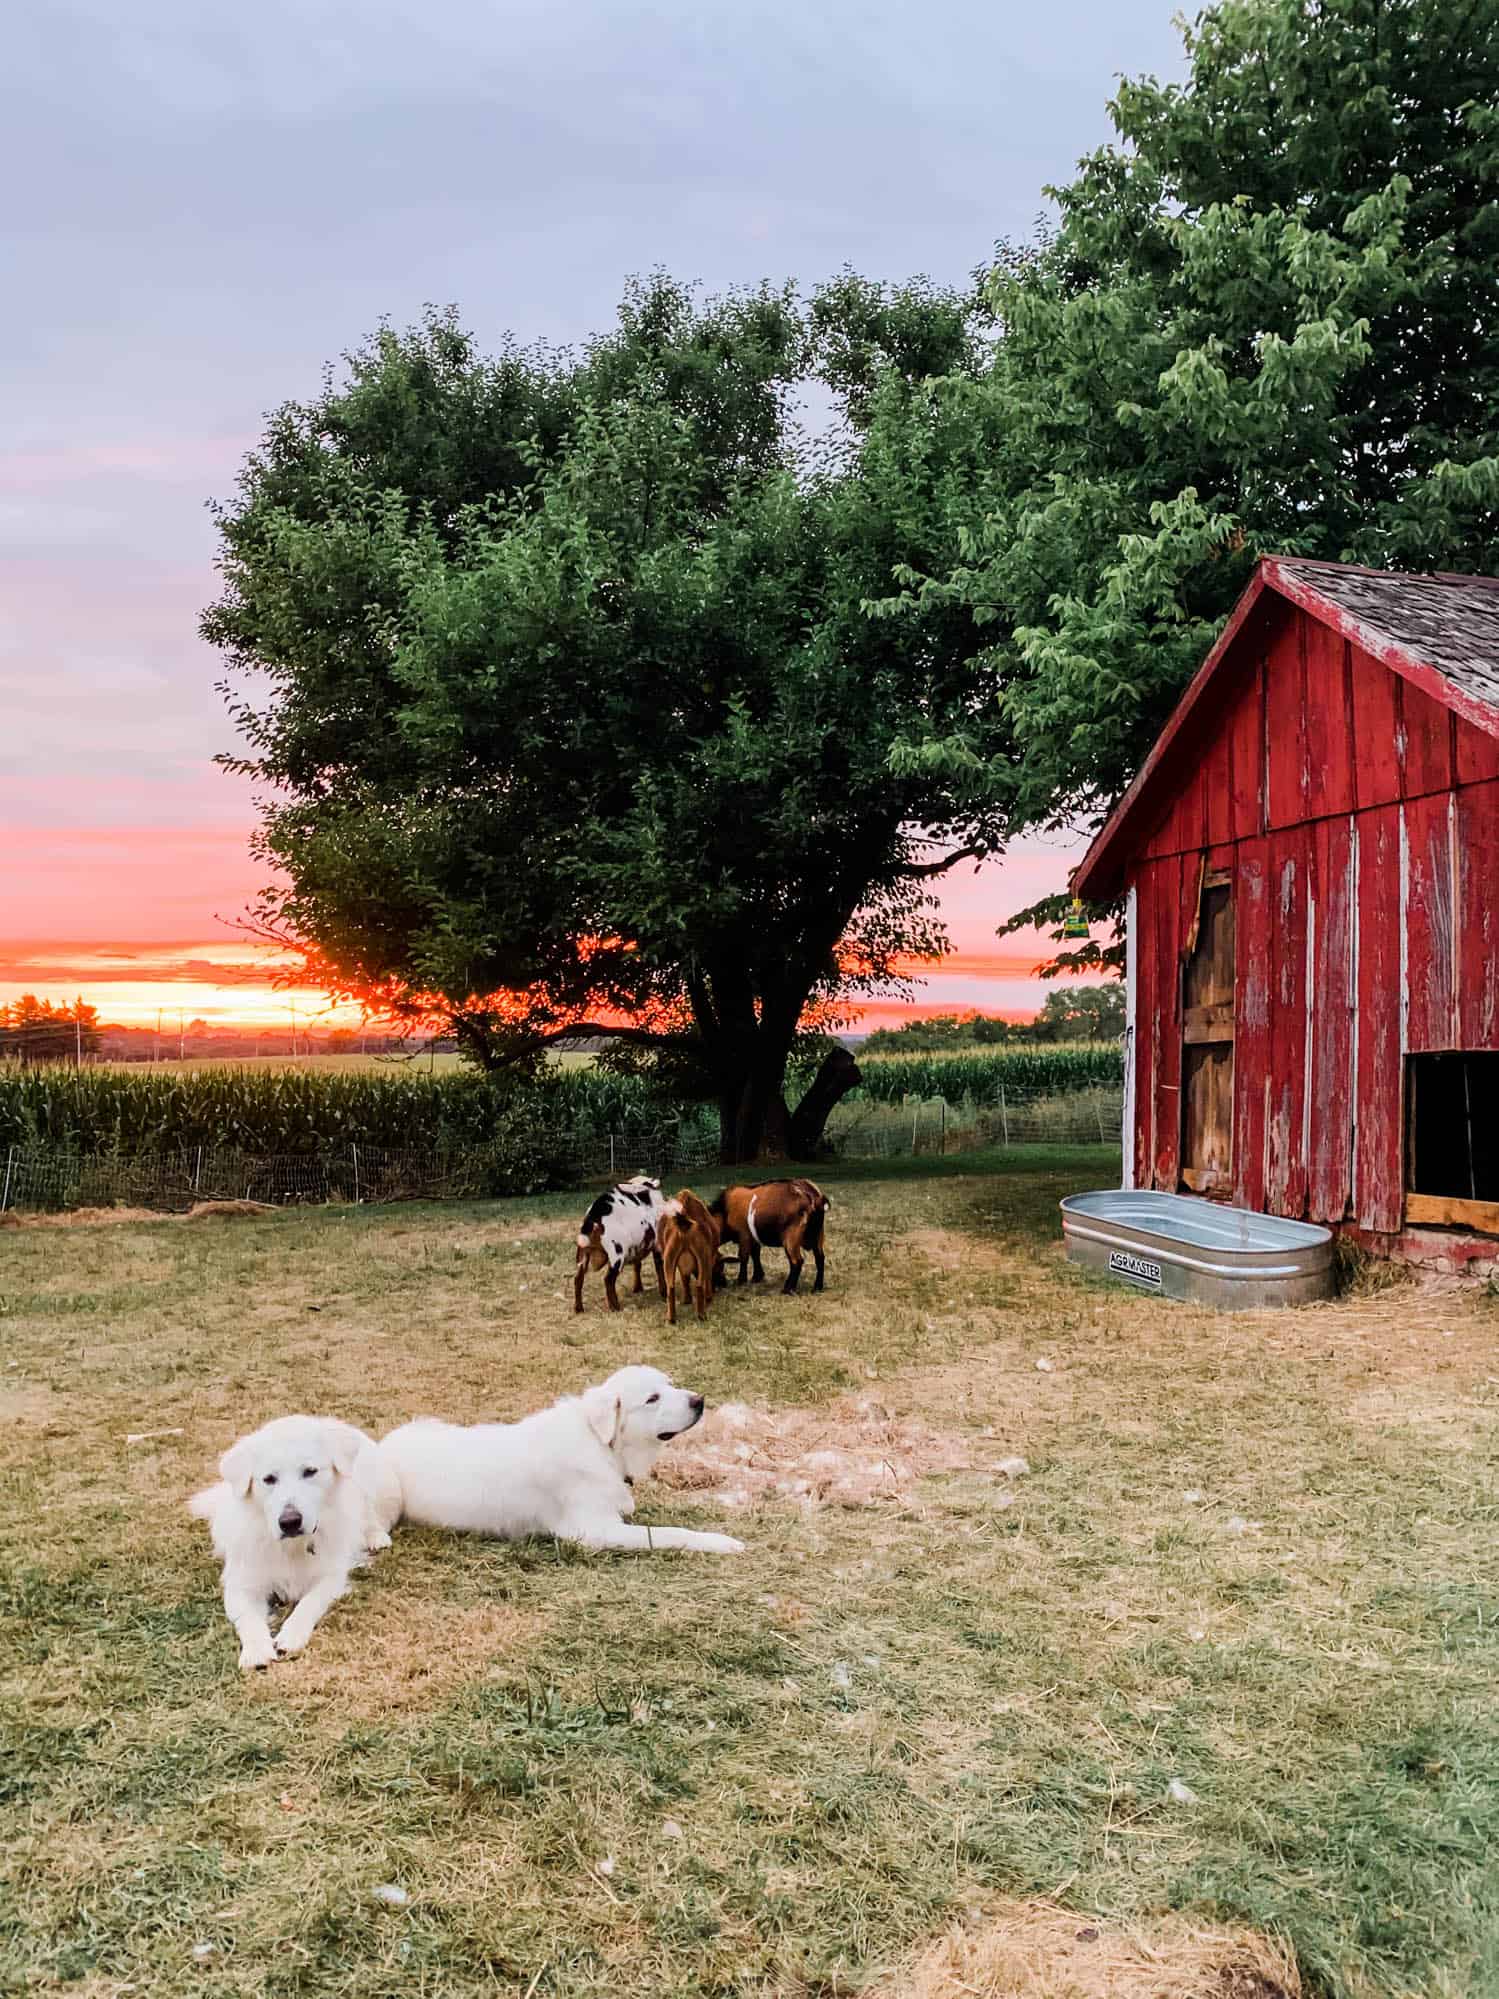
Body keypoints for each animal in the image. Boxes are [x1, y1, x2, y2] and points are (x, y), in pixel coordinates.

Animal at [188, 1415, 405, 1679]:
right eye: (269, 1479)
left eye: (310, 1472)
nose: (290, 1522)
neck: (291, 1546)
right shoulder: (241, 1585)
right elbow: (249, 1619)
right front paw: (256, 1651)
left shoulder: (331, 1578)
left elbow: (308, 1604)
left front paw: (291, 1635)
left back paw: (375, 1536)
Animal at [377, 1367, 747, 1551]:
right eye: (652, 1398)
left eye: (670, 1385)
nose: (699, 1401)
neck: (601, 1445)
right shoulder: (593, 1531)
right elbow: (669, 1533)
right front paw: (722, 1542)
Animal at [659, 1183, 723, 1327]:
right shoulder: (709, 1259)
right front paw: (708, 1297)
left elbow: (684, 1278)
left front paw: (686, 1299)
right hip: (703, 1257)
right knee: (700, 1285)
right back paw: (702, 1314)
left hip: (668, 1258)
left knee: (670, 1288)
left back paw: (671, 1318)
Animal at [707, 1167, 827, 1295]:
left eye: (717, 1266)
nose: (722, 1284)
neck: (725, 1212)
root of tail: (813, 1196)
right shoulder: (753, 1238)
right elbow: (755, 1254)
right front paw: (757, 1277)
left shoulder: (743, 1234)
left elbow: (743, 1257)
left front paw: (741, 1281)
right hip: (818, 1235)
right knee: (820, 1258)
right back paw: (817, 1287)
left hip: (791, 1238)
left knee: (796, 1261)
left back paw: (788, 1289)